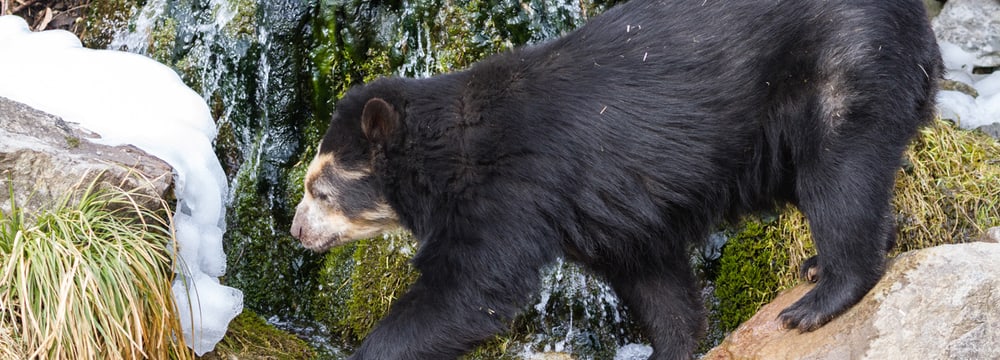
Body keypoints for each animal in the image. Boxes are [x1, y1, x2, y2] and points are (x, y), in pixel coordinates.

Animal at [288, 1, 936, 358]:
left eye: (319, 189)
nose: (295, 231)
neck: (449, 150)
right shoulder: (605, 211)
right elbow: (651, 276)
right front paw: (670, 348)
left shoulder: (512, 189)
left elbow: (470, 287)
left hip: (840, 74)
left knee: (842, 179)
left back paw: (817, 299)